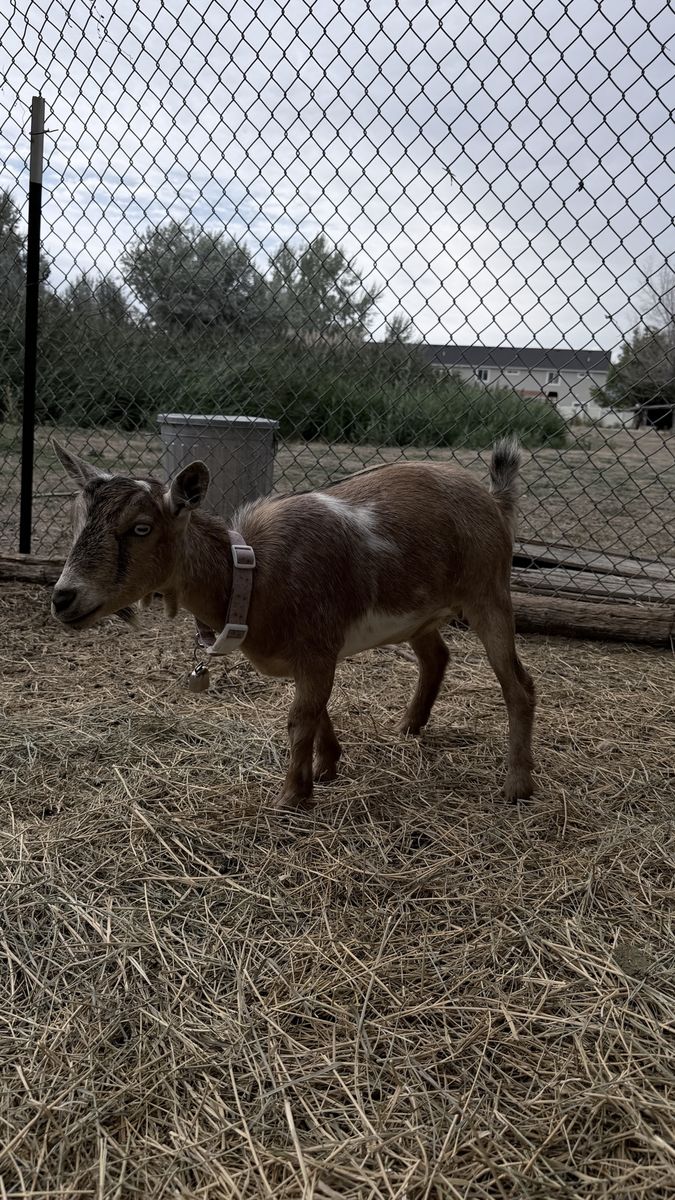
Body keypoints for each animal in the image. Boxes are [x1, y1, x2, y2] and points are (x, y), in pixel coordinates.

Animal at [51, 440, 535, 808]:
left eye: (141, 528)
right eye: (74, 521)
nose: (63, 598)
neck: (250, 577)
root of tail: (492, 499)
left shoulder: (318, 646)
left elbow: (301, 718)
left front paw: (291, 797)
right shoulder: (308, 657)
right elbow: (316, 711)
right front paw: (327, 767)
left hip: (489, 591)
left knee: (518, 684)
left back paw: (517, 786)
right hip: (420, 612)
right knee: (436, 656)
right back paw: (409, 727)